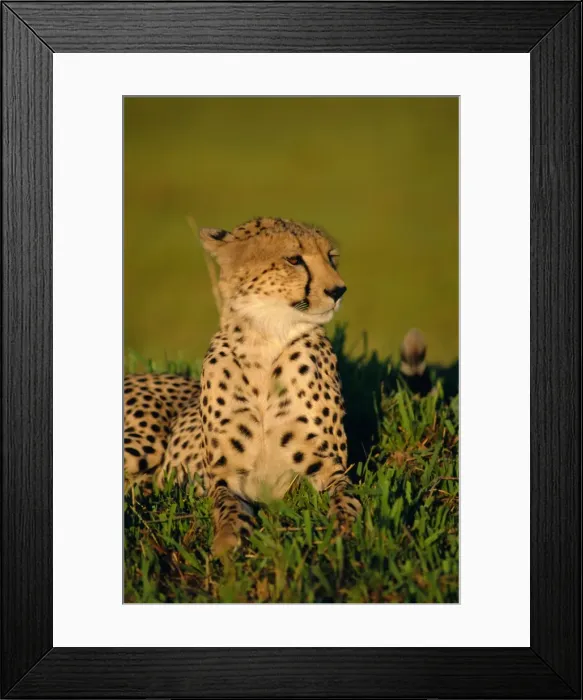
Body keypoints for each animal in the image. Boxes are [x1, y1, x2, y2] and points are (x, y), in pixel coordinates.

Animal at [124, 216, 362, 555]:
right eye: (294, 259)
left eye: (331, 257)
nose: (338, 290)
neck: (265, 338)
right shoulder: (226, 476)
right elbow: (226, 507)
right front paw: (227, 540)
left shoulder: (329, 465)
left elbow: (346, 498)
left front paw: (344, 528)